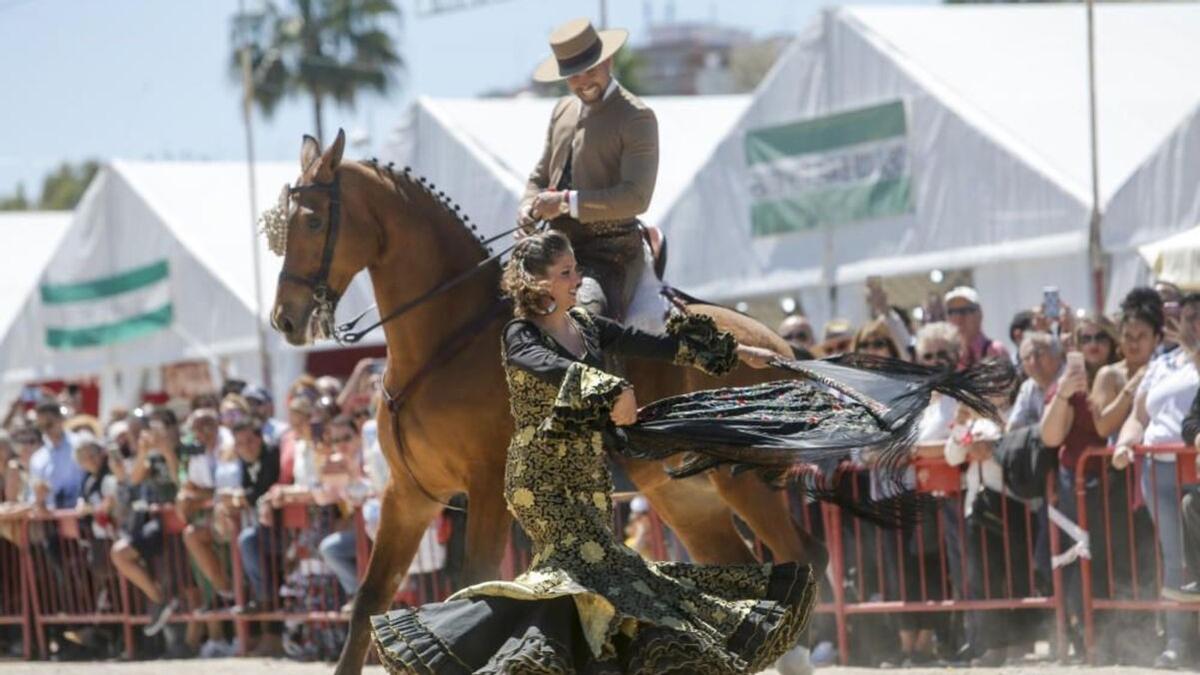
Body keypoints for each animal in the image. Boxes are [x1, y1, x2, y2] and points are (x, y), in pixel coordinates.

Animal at [268, 131, 820, 672]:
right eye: (284, 226)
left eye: (313, 220)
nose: (285, 319)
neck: (444, 342)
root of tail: (774, 345)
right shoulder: (407, 493)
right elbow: (369, 599)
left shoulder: (485, 486)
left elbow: (474, 579)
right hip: (685, 495)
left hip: (744, 484)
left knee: (802, 556)